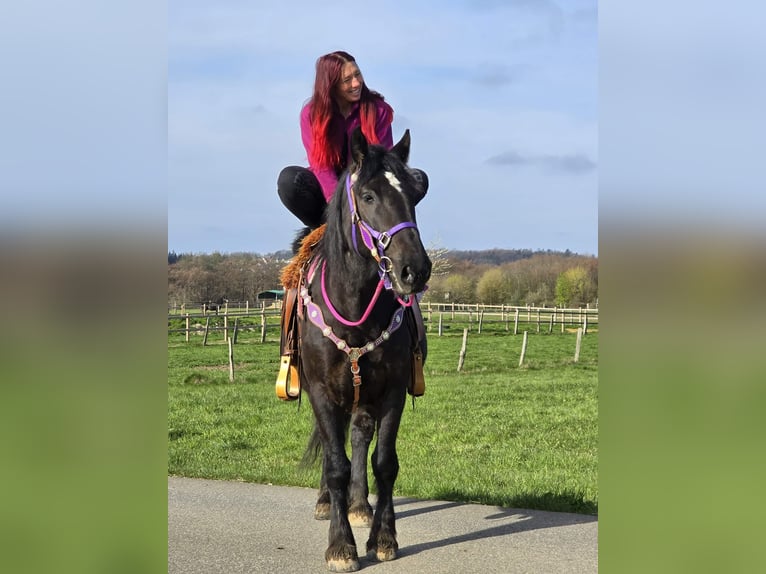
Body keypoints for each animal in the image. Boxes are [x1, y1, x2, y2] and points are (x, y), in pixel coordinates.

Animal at [293, 127, 431, 572]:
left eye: (415, 194)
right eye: (368, 196)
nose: (414, 270)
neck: (353, 309)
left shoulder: (390, 393)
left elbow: (384, 463)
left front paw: (383, 538)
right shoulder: (321, 392)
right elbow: (336, 465)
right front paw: (341, 546)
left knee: (358, 435)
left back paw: (358, 505)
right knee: (334, 447)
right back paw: (328, 503)